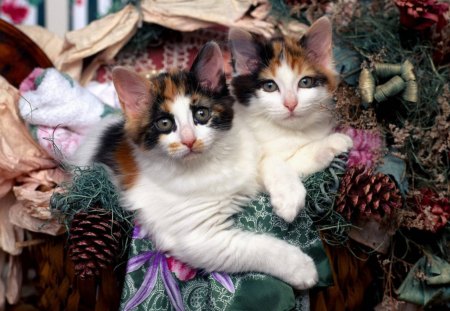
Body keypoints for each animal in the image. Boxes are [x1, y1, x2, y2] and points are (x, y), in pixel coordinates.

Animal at [72, 42, 318, 292]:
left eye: (202, 113)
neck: (210, 162)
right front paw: (300, 267)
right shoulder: (201, 238)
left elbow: (271, 161)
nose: (189, 140)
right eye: (164, 124)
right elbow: (257, 247)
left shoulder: (248, 157)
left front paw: (289, 198)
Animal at [230, 17, 354, 223]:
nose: (291, 104)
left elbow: (296, 159)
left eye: (305, 82)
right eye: (270, 86)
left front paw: (334, 143)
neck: (288, 131)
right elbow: (269, 161)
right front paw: (289, 196)